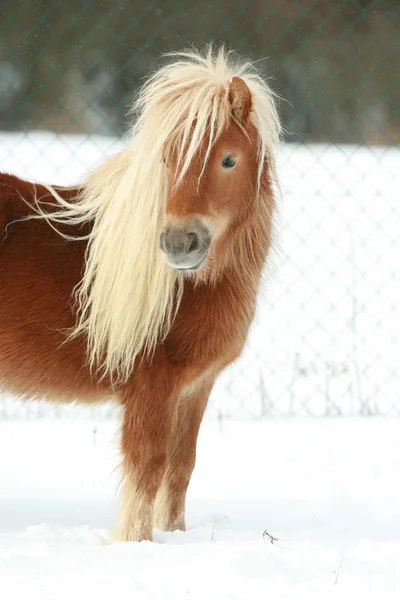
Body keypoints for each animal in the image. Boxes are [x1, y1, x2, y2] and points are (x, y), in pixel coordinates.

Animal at [0, 47, 282, 540]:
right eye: (167, 159)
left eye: (229, 159)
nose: (179, 242)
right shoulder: (151, 386)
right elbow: (146, 470)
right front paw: (136, 544)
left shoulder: (195, 389)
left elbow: (180, 468)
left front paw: (175, 538)